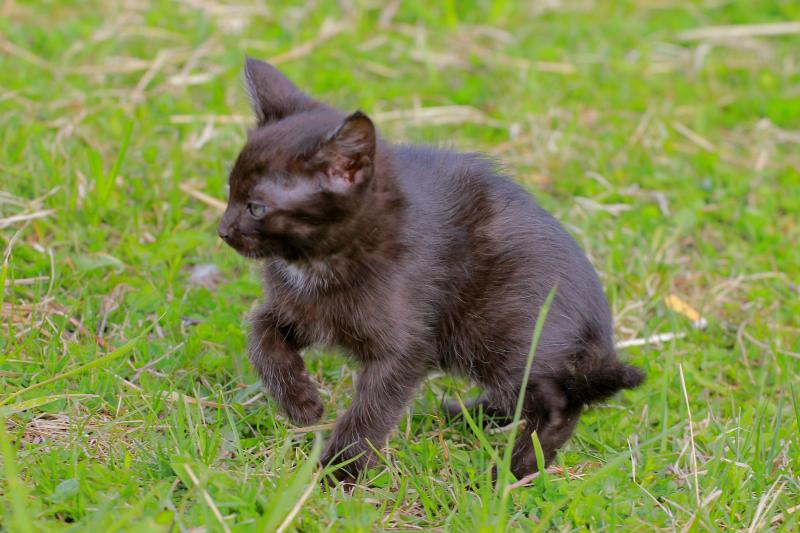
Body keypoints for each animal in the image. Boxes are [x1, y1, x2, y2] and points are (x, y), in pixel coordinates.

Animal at [218, 57, 645, 483]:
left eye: (256, 207)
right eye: (230, 192)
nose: (222, 230)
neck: (318, 261)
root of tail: (600, 326)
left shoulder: (405, 347)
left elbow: (373, 409)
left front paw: (340, 470)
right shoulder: (299, 311)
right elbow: (259, 332)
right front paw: (301, 402)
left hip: (500, 336)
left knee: (559, 405)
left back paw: (509, 473)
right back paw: (466, 415)